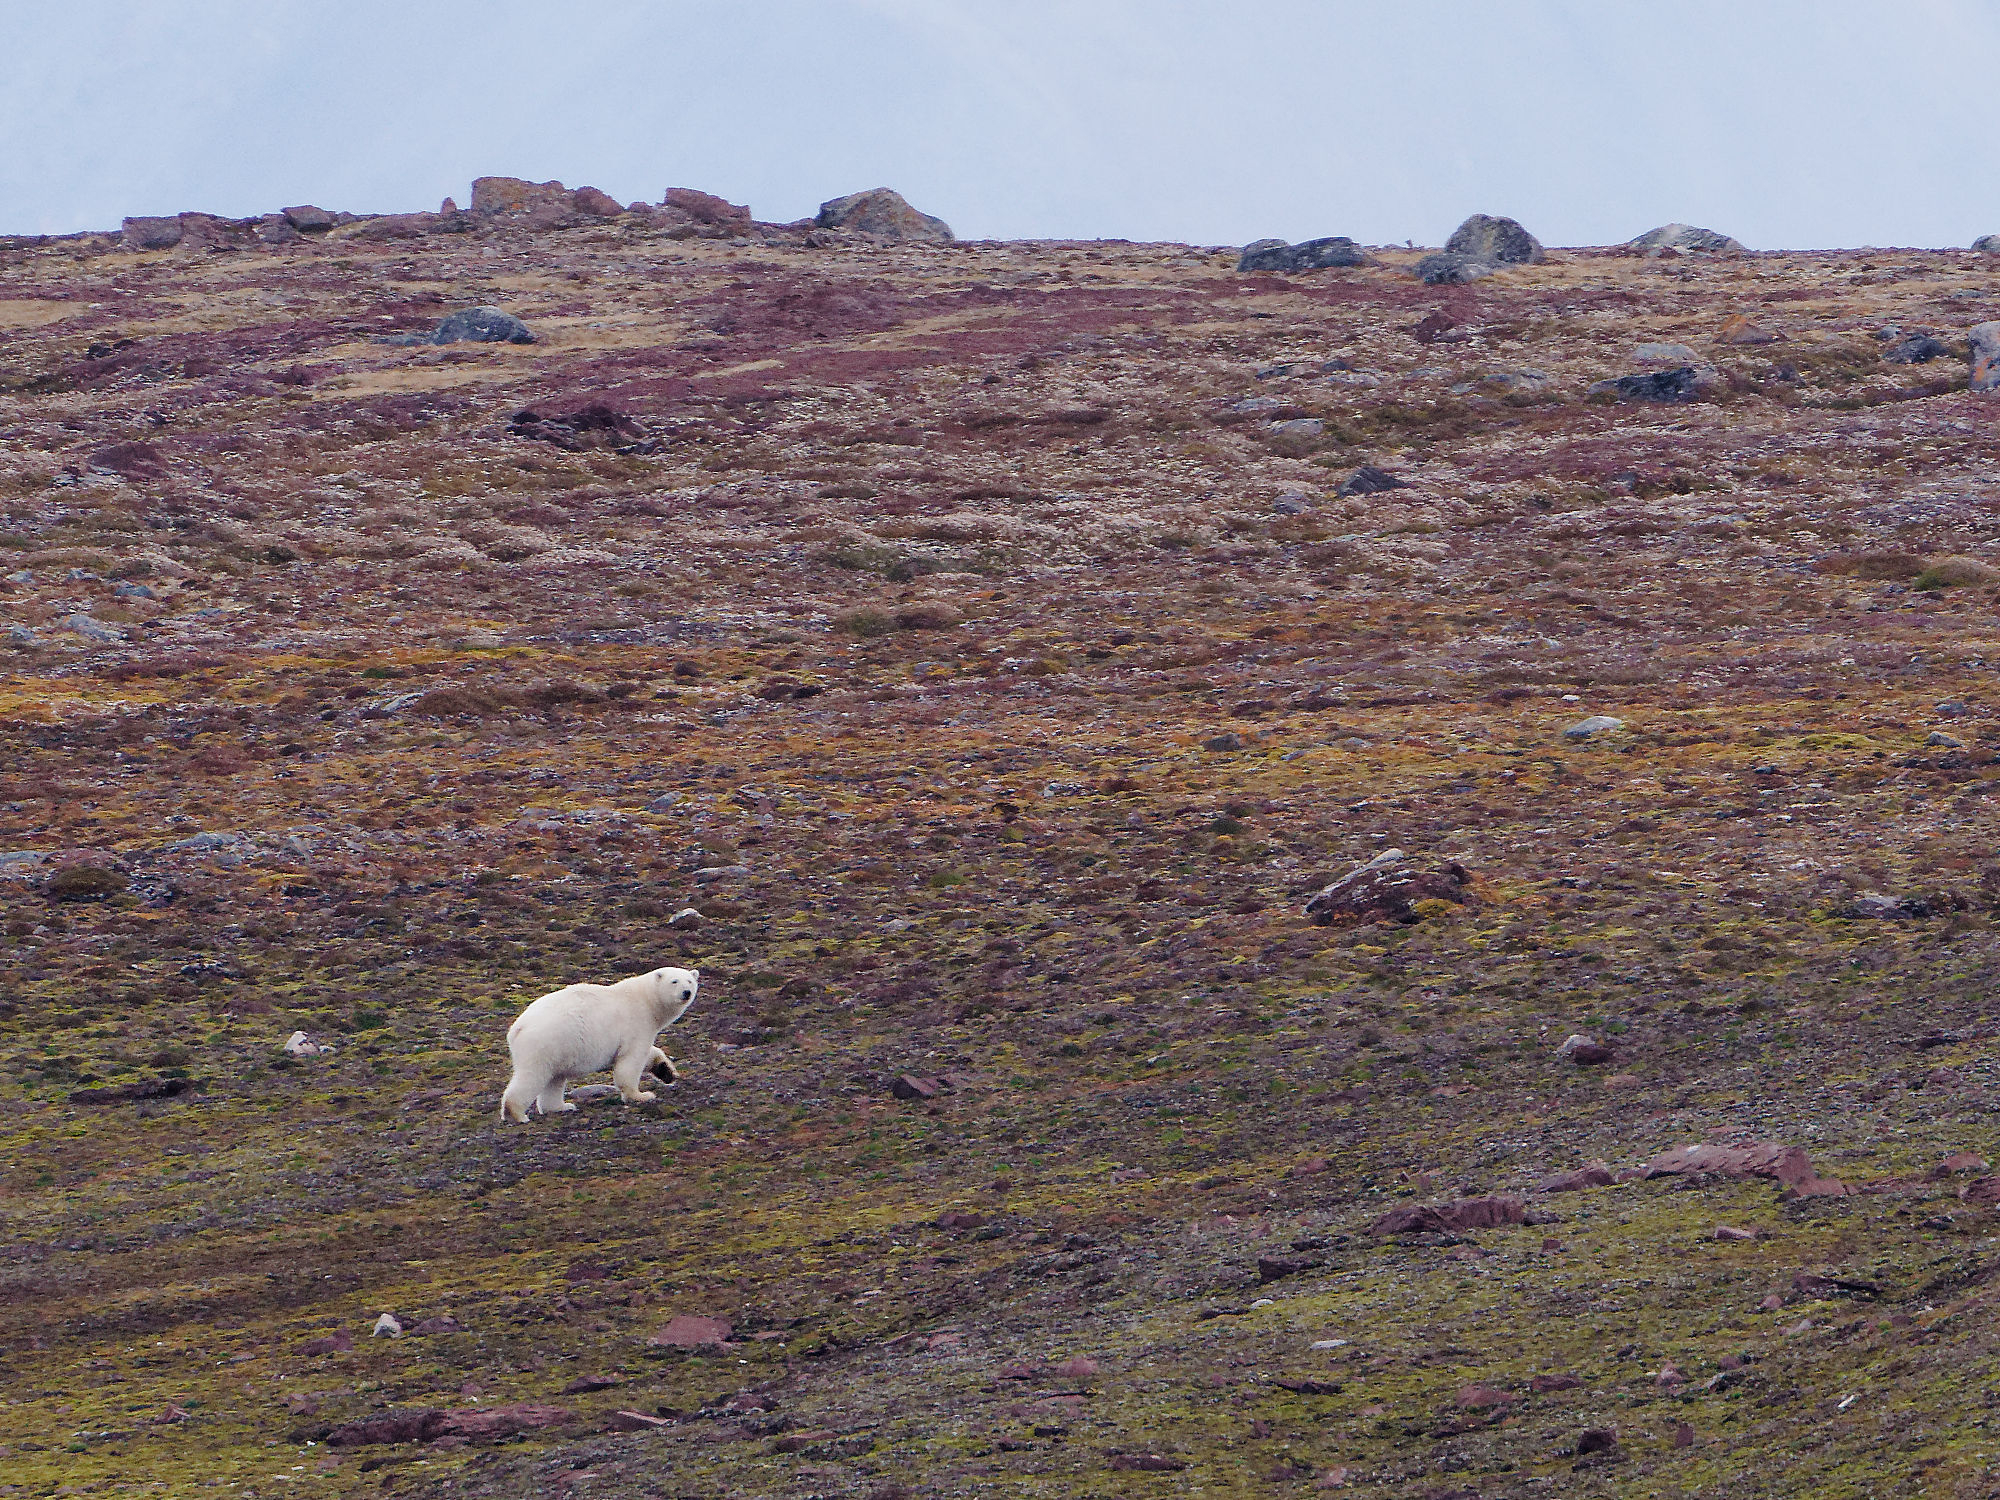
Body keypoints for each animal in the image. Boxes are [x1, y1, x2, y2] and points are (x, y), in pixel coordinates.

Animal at [499, 966, 699, 1123]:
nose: (686, 992)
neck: (646, 1000)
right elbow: (631, 1060)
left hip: (558, 1048)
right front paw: (641, 1095)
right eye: (674, 981)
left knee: (554, 1079)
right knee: (533, 1076)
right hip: (544, 1043)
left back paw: (562, 1107)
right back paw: (516, 1114)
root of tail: (517, 1028)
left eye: (689, 981)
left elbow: (647, 1053)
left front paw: (666, 1072)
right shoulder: (636, 1022)